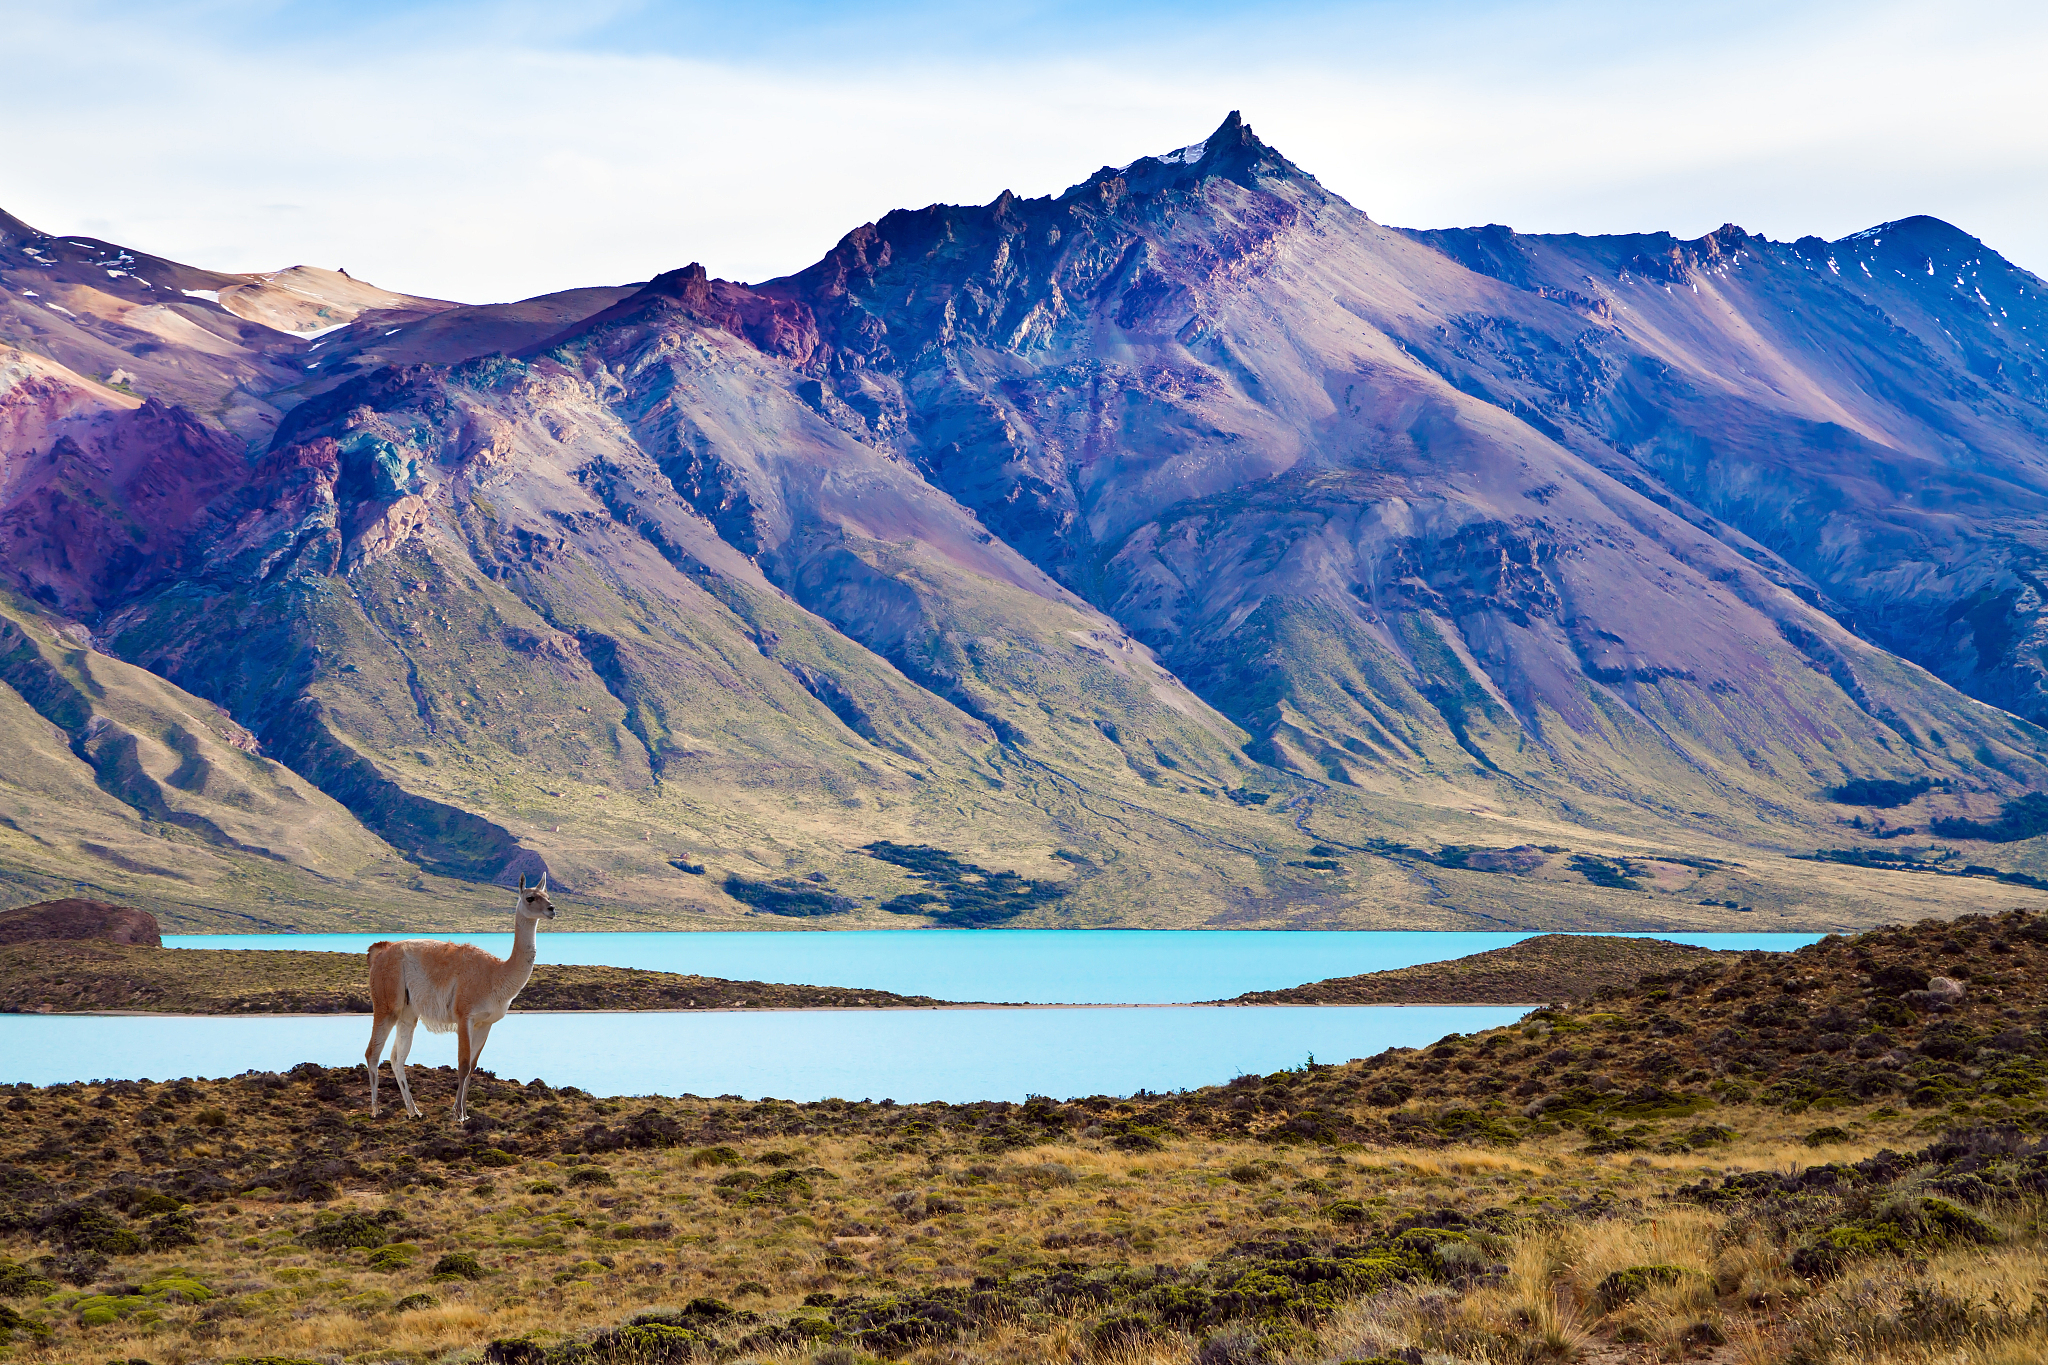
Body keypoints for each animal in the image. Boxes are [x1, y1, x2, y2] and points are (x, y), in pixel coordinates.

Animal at [365, 873, 556, 1123]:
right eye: (530, 898)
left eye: (548, 895)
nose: (552, 909)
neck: (495, 974)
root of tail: (381, 950)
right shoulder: (464, 1015)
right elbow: (463, 1065)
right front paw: (458, 1114)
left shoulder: (485, 1023)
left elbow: (473, 1066)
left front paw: (464, 1111)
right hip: (386, 1002)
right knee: (372, 1053)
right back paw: (376, 1110)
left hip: (408, 1013)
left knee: (397, 1058)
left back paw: (413, 1111)